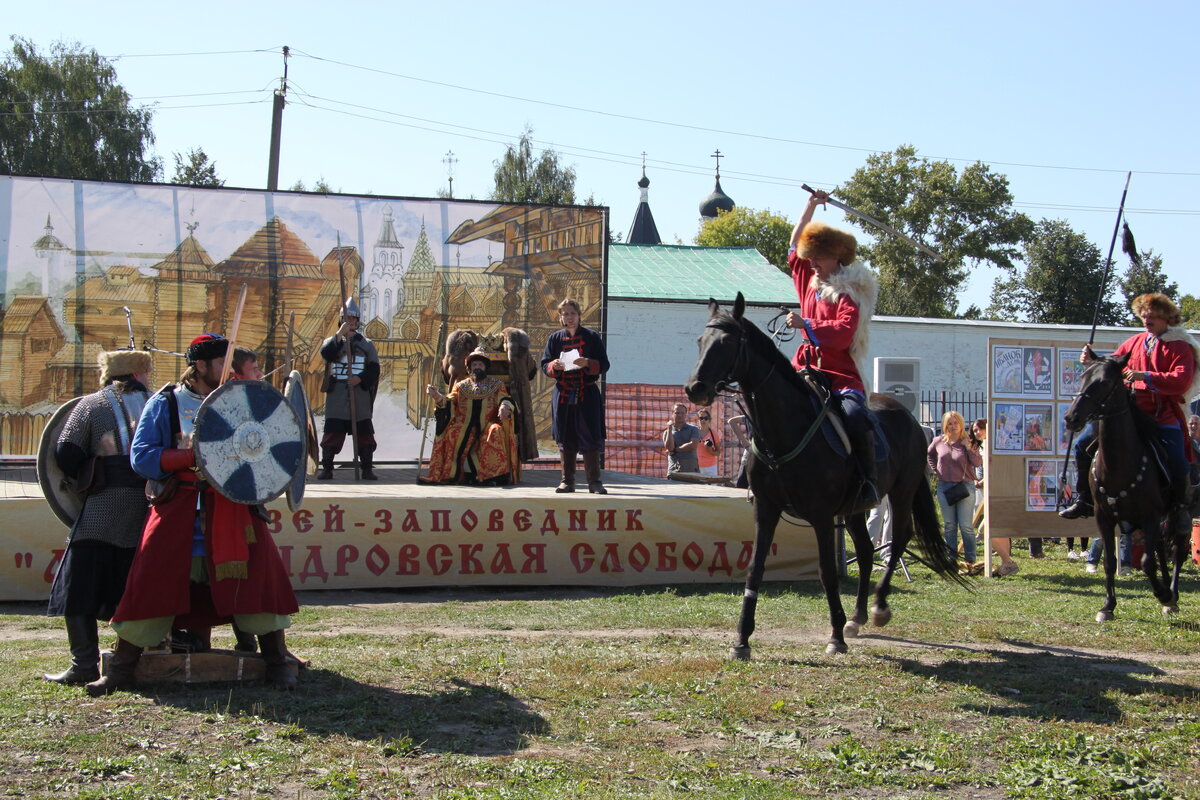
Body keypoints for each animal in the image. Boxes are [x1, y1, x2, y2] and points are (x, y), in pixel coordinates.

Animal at [691, 293, 960, 657]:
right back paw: (857, 618)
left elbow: (827, 573)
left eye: (727, 343)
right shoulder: (766, 508)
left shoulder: (820, 516)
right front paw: (742, 639)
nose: (695, 388)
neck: (785, 430)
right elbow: (755, 569)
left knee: (899, 538)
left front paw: (835, 635)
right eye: (701, 341)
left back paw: (878, 607)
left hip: (901, 492)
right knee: (865, 550)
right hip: (857, 509)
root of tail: (909, 417)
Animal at [1065, 352, 1185, 623]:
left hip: (1181, 513)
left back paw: (1171, 595)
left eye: (1106, 382)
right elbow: (1110, 561)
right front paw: (1108, 606)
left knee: (1177, 551)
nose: (1071, 417)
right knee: (1162, 548)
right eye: (1083, 376)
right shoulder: (1104, 517)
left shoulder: (1150, 515)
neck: (1119, 464)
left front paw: (1164, 595)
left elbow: (1147, 561)